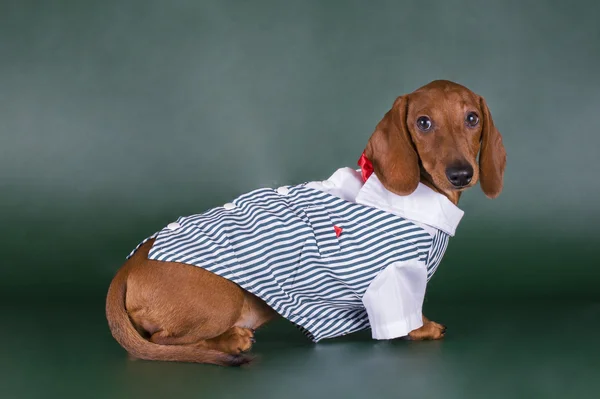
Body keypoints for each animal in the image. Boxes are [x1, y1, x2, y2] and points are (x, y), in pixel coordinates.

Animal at [105, 80, 504, 368]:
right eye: (423, 122)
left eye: (472, 118)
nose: (461, 174)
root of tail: (128, 267)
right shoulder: (392, 278)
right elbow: (404, 316)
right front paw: (422, 328)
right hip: (221, 299)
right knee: (161, 341)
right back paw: (231, 340)